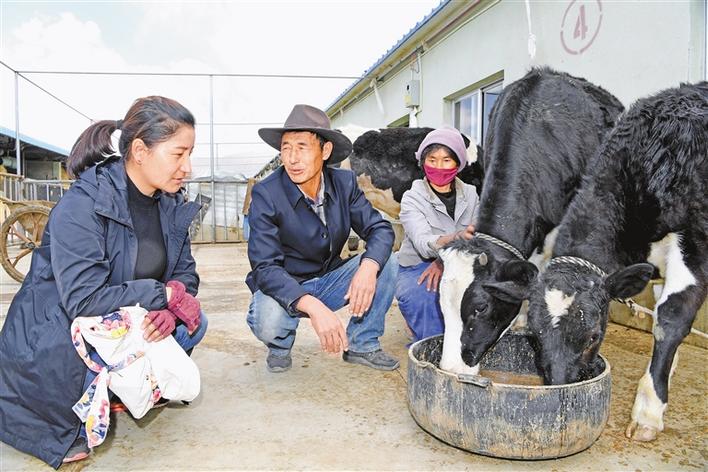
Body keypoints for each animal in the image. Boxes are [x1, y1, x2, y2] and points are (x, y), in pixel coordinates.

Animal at [526, 82, 708, 442]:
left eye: (593, 335)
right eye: (534, 335)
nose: (559, 388)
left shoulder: (697, 241)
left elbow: (671, 317)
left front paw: (649, 410)